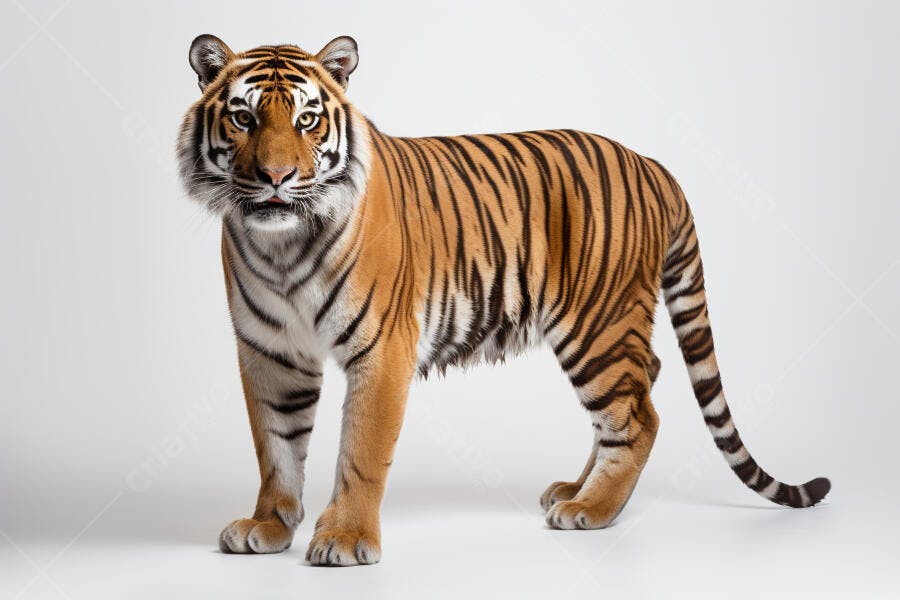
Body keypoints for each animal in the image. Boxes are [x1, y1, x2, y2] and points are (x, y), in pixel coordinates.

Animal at [177, 34, 831, 566]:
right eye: (243, 117)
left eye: (309, 119)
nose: (276, 178)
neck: (282, 246)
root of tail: (651, 163)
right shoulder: (270, 352)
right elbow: (276, 446)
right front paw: (267, 526)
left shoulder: (382, 349)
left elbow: (359, 450)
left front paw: (345, 539)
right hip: (612, 328)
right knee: (642, 381)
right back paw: (579, 490)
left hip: (597, 323)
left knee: (638, 412)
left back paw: (593, 510)